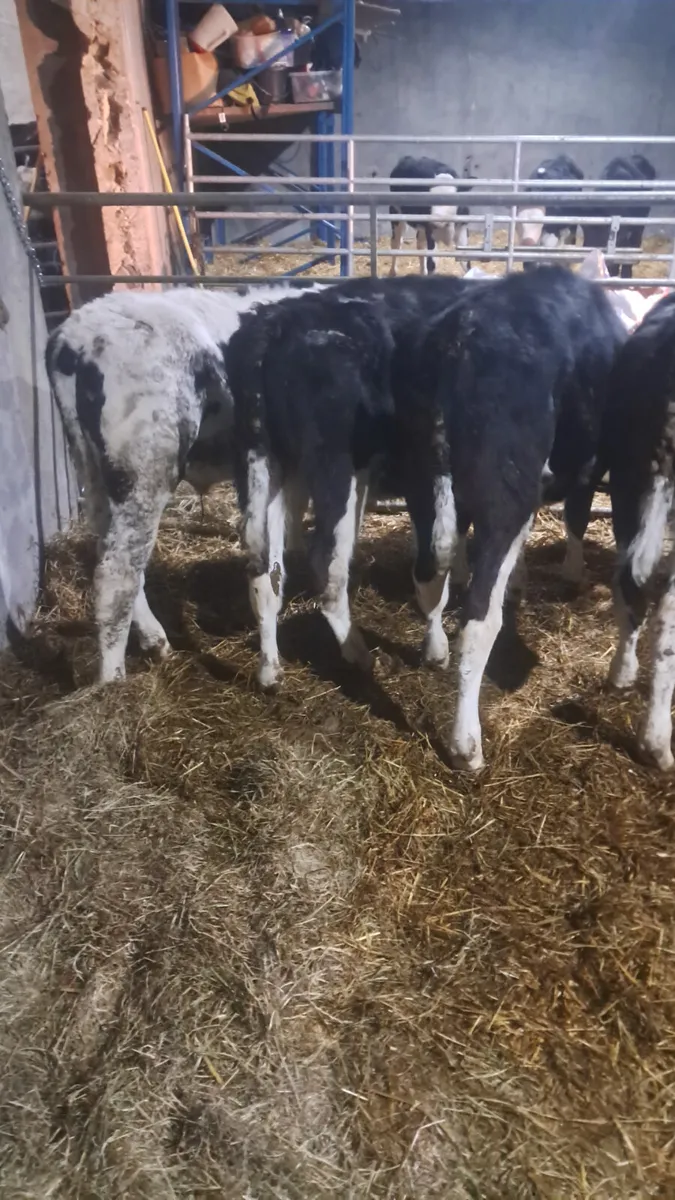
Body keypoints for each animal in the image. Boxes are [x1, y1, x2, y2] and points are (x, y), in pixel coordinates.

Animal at [389, 267, 626, 771]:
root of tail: (457, 335)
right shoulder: (587, 465)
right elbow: (576, 517)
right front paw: (571, 574)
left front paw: (517, 579)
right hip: (502, 491)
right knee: (478, 621)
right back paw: (466, 746)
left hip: (419, 477)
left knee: (427, 576)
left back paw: (434, 651)